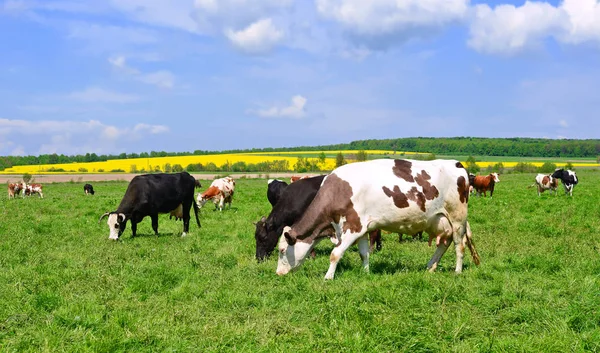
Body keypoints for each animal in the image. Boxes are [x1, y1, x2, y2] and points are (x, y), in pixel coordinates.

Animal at [276, 158, 478, 280]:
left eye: (282, 250)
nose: (278, 273)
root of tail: (457, 164)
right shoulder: (362, 229)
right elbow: (364, 253)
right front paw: (366, 272)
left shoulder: (352, 227)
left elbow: (335, 254)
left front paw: (328, 277)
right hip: (439, 220)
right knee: (444, 243)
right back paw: (430, 266)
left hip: (457, 218)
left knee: (459, 245)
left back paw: (457, 271)